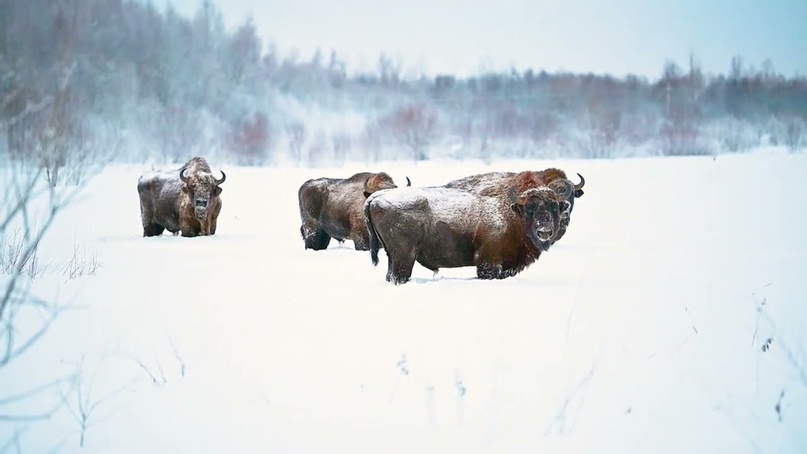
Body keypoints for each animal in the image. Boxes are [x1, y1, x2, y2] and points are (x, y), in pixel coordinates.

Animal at [362, 170, 576, 284]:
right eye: (530, 208)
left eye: (554, 206)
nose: (544, 230)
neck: (511, 211)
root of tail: (376, 197)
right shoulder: (488, 263)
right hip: (404, 257)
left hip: (394, 256)